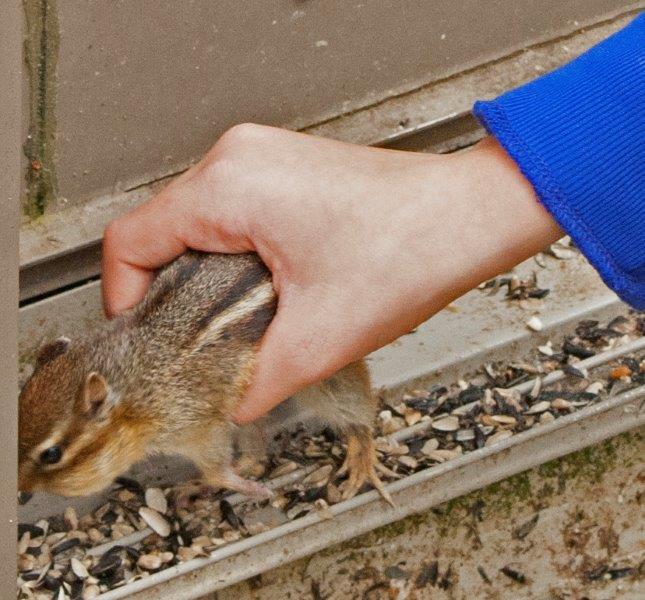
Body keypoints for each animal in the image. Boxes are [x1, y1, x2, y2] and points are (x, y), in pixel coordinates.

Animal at [18, 251, 392, 505]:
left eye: (51, 455)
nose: (20, 490)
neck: (137, 385)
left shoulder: (201, 426)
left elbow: (217, 469)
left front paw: (243, 487)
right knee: (255, 450)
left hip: (326, 367)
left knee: (357, 416)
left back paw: (362, 462)